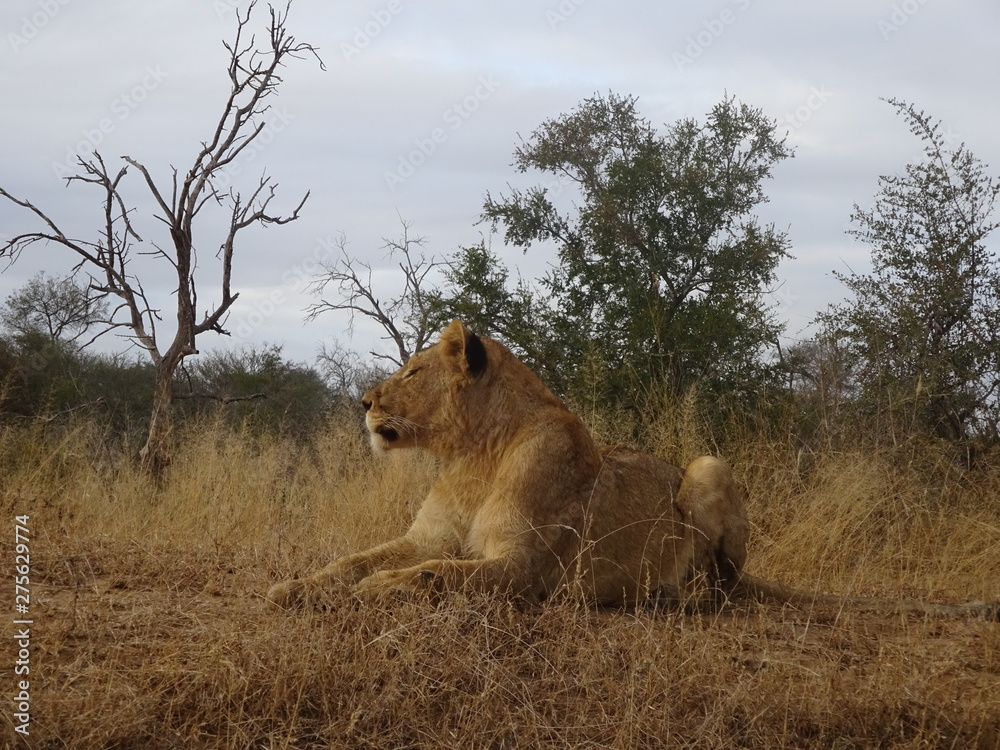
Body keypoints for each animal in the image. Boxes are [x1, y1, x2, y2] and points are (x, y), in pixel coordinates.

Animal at [267, 320, 997, 619]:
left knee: (722, 586)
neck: (473, 452)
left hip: (707, 464)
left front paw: (374, 591)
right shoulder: (428, 536)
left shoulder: (522, 569)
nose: (363, 403)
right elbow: (357, 559)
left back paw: (676, 595)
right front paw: (294, 587)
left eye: (414, 371)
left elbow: (429, 575)